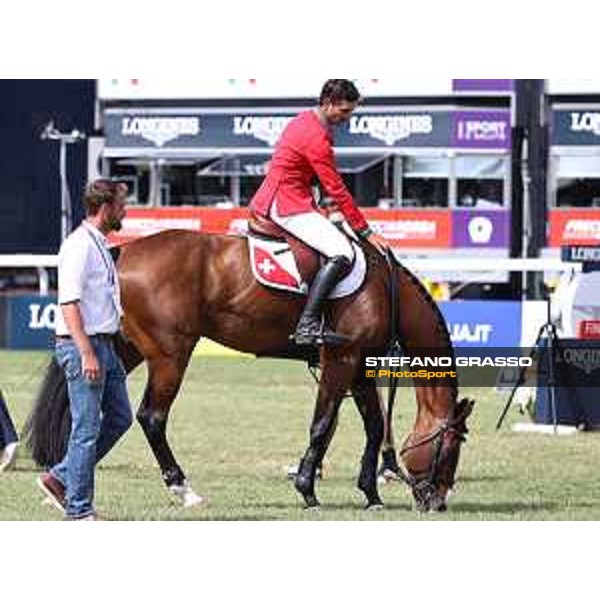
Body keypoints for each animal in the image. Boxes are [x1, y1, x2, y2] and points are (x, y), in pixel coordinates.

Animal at [24, 229, 474, 510]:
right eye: (451, 446)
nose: (438, 501)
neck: (384, 288)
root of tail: (124, 251)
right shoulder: (340, 362)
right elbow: (322, 426)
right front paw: (307, 489)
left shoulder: (360, 369)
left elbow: (375, 428)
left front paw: (371, 494)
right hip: (170, 355)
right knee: (152, 417)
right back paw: (182, 489)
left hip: (124, 347)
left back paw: (59, 485)